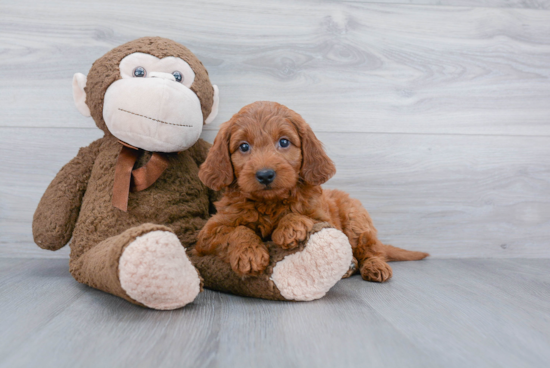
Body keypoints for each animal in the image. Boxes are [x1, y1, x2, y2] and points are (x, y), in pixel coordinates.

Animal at [198, 102, 432, 280]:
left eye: (284, 142)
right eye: (244, 147)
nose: (265, 175)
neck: (270, 203)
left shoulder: (324, 219)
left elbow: (301, 214)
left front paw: (290, 226)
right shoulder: (208, 235)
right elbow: (238, 230)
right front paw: (249, 253)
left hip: (356, 219)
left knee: (372, 250)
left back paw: (374, 266)